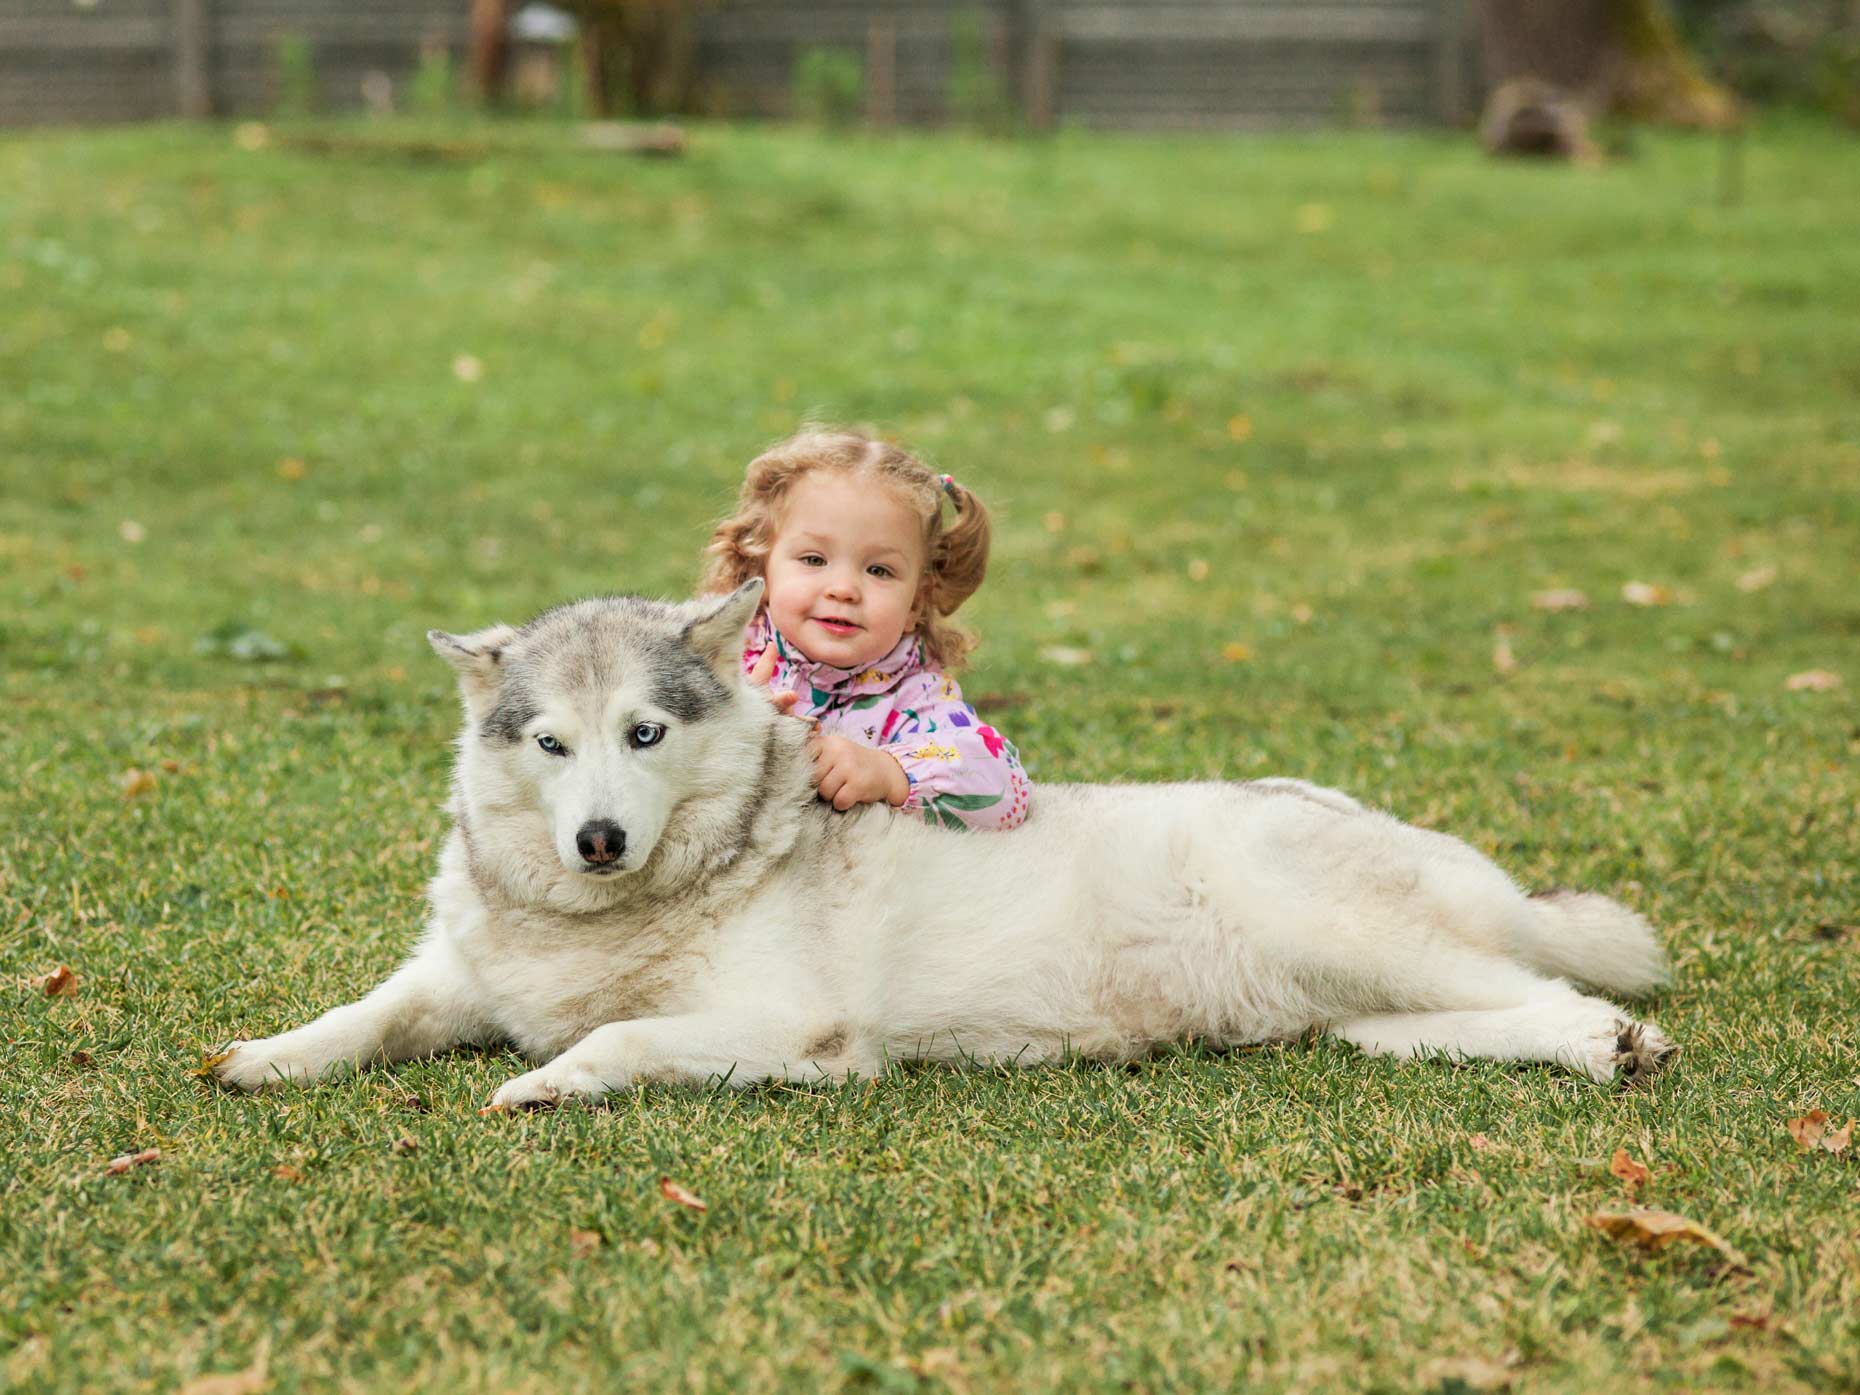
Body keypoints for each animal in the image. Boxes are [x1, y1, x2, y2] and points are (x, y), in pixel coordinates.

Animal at [211, 580, 1681, 1101]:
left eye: (644, 732)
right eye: (550, 744)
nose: (599, 842)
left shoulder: (801, 1038)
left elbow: (616, 1037)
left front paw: (545, 1082)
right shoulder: (455, 979)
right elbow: (365, 1015)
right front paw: (265, 1058)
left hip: (1341, 930)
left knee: (1561, 992)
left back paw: (1614, 1044)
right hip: (1357, 1012)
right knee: (1481, 1013)